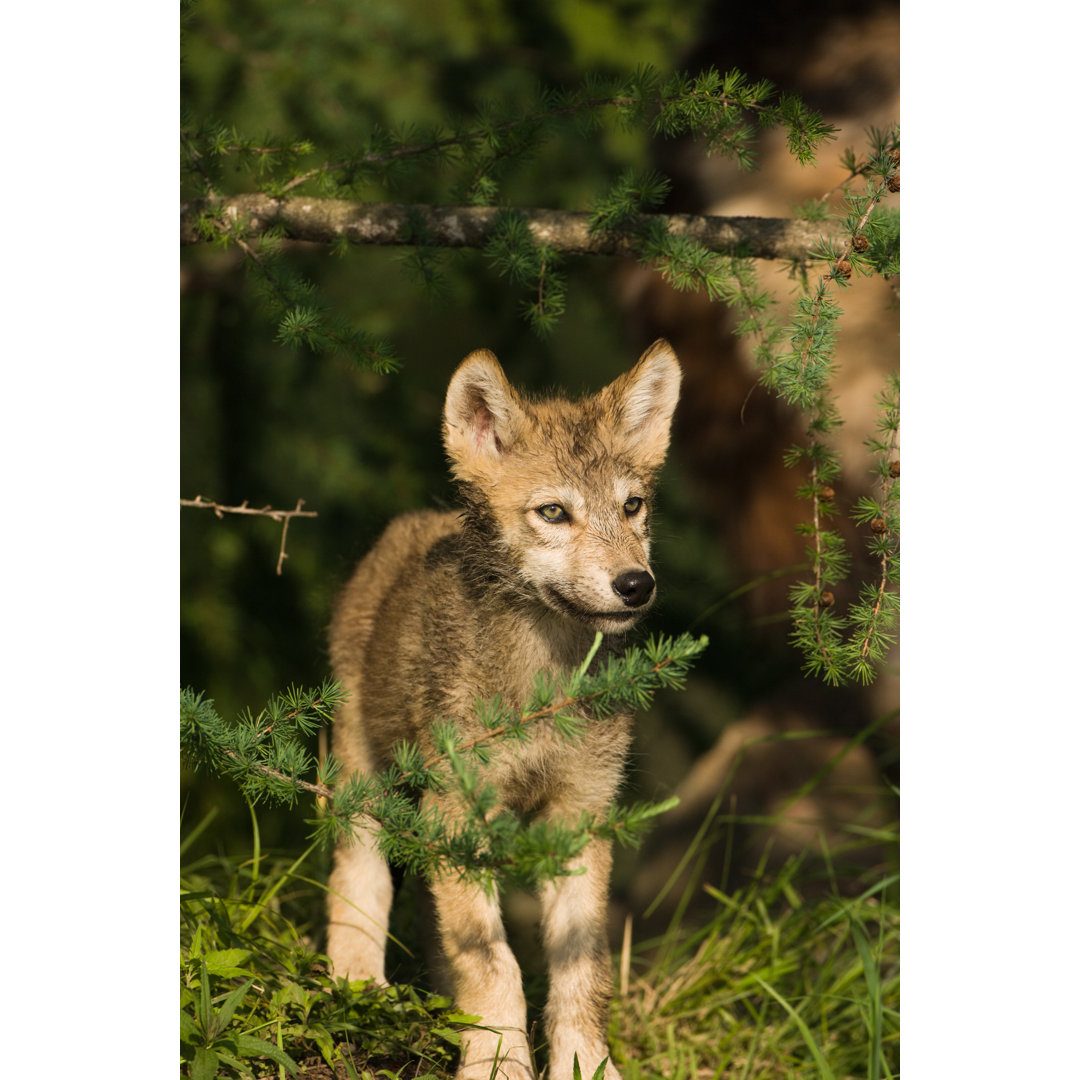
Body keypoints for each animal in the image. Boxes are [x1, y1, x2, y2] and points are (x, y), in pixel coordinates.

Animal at [328, 343, 682, 1080]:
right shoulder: (458, 813)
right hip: (367, 785)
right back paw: (357, 986)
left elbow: (581, 971)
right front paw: (496, 1063)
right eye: (553, 513)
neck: (544, 686)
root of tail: (409, 525)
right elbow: (495, 965)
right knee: (360, 879)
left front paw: (585, 1064)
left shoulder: (579, 817)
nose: (636, 584)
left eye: (632, 506)